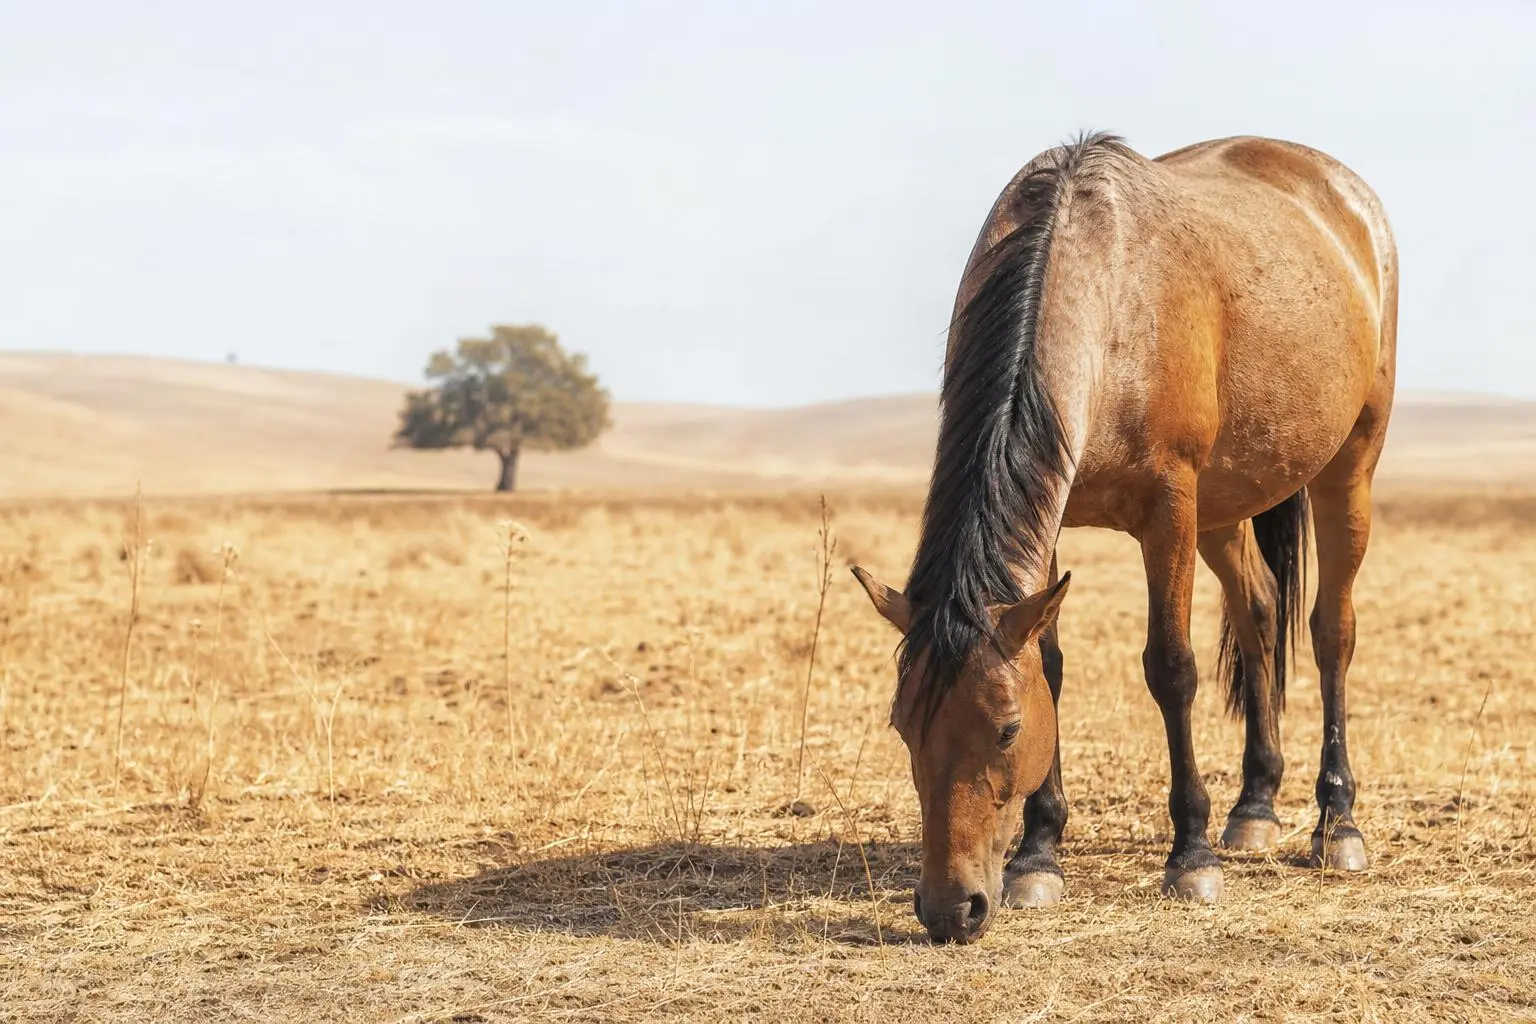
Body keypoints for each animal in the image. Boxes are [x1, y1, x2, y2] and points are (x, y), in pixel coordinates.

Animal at [850, 131, 1397, 945]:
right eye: (902, 725)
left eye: (1007, 731)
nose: (951, 910)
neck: (1105, 294)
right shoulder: (1050, 522)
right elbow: (1051, 666)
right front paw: (1039, 855)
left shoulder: (1169, 507)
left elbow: (1171, 668)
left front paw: (1190, 856)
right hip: (1224, 505)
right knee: (1260, 612)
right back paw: (1255, 807)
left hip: (1347, 467)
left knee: (1331, 631)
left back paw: (1337, 825)